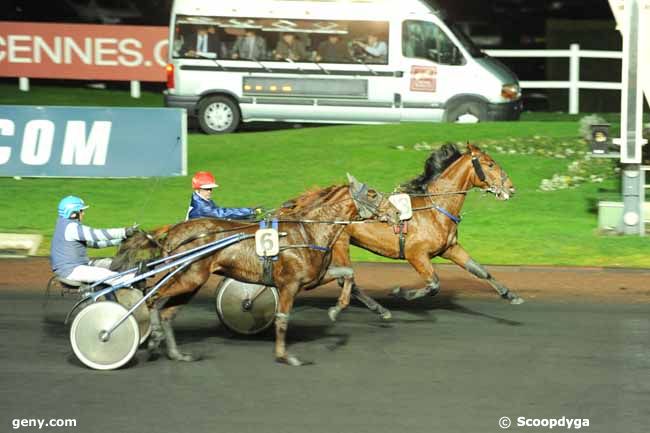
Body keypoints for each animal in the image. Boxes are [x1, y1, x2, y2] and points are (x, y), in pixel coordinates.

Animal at [114, 176, 398, 364]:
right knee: (153, 298)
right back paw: (149, 340)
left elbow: (348, 276)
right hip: (189, 276)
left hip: (191, 281)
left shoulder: (313, 278)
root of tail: (172, 231)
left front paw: (336, 310)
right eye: (372, 193)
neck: (307, 230)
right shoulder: (289, 285)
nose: (396, 212)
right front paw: (285, 356)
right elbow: (282, 318)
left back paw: (175, 352)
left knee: (167, 311)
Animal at [326, 143, 524, 320]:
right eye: (490, 164)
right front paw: (400, 292)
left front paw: (510, 295)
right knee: (346, 279)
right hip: (340, 243)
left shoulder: (450, 248)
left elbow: (480, 271)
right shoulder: (416, 254)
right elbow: (434, 284)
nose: (511, 187)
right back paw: (378, 308)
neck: (435, 210)